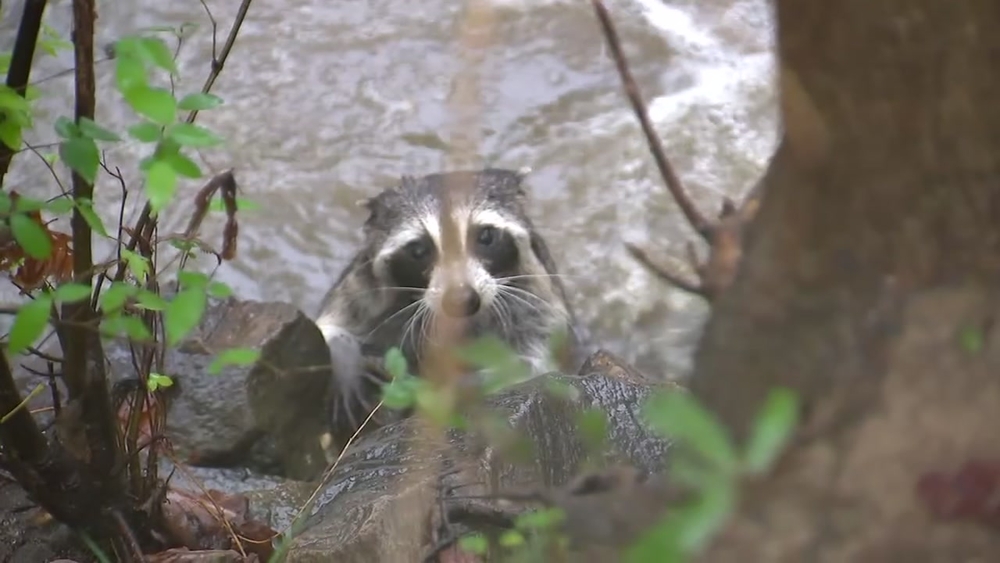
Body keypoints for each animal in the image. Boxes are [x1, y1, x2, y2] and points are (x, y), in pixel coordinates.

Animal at [316, 168, 585, 439]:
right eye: (418, 250)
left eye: (485, 236)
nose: (461, 299)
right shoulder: (367, 286)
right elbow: (330, 322)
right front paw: (345, 358)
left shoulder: (536, 290)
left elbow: (542, 364)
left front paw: (459, 385)